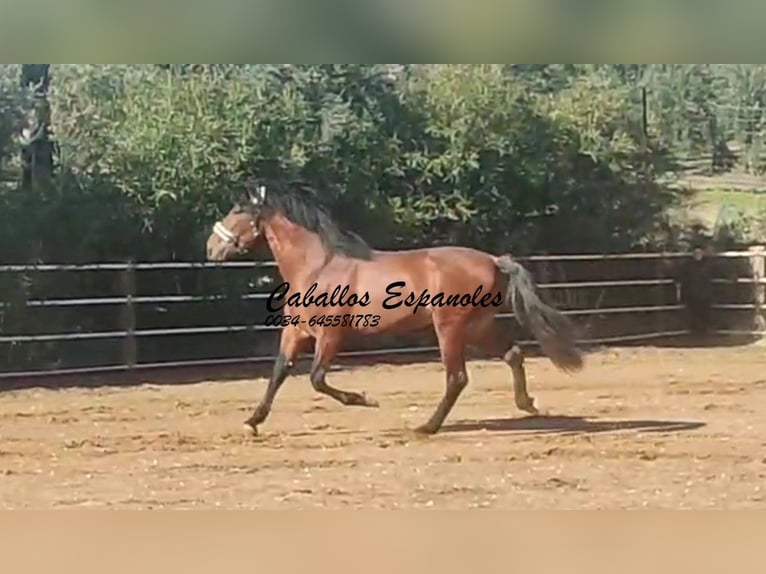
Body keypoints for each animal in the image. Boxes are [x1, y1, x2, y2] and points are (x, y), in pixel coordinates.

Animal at [205, 179, 583, 436]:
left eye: (238, 210)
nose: (211, 247)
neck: (318, 266)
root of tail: (494, 260)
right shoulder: (296, 331)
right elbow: (279, 372)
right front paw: (252, 422)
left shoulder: (331, 335)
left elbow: (316, 379)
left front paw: (364, 399)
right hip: (478, 326)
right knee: (513, 354)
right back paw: (527, 404)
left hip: (450, 328)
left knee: (457, 377)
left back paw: (426, 426)